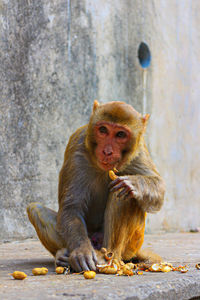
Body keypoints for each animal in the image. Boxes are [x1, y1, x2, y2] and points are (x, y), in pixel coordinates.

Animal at [27, 101, 166, 272]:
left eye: (120, 135)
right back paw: (62, 255)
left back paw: (111, 257)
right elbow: (71, 208)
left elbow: (159, 189)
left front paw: (132, 183)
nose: (107, 151)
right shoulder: (77, 147)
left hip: (130, 246)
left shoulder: (138, 150)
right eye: (103, 130)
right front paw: (81, 251)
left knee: (124, 195)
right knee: (35, 210)